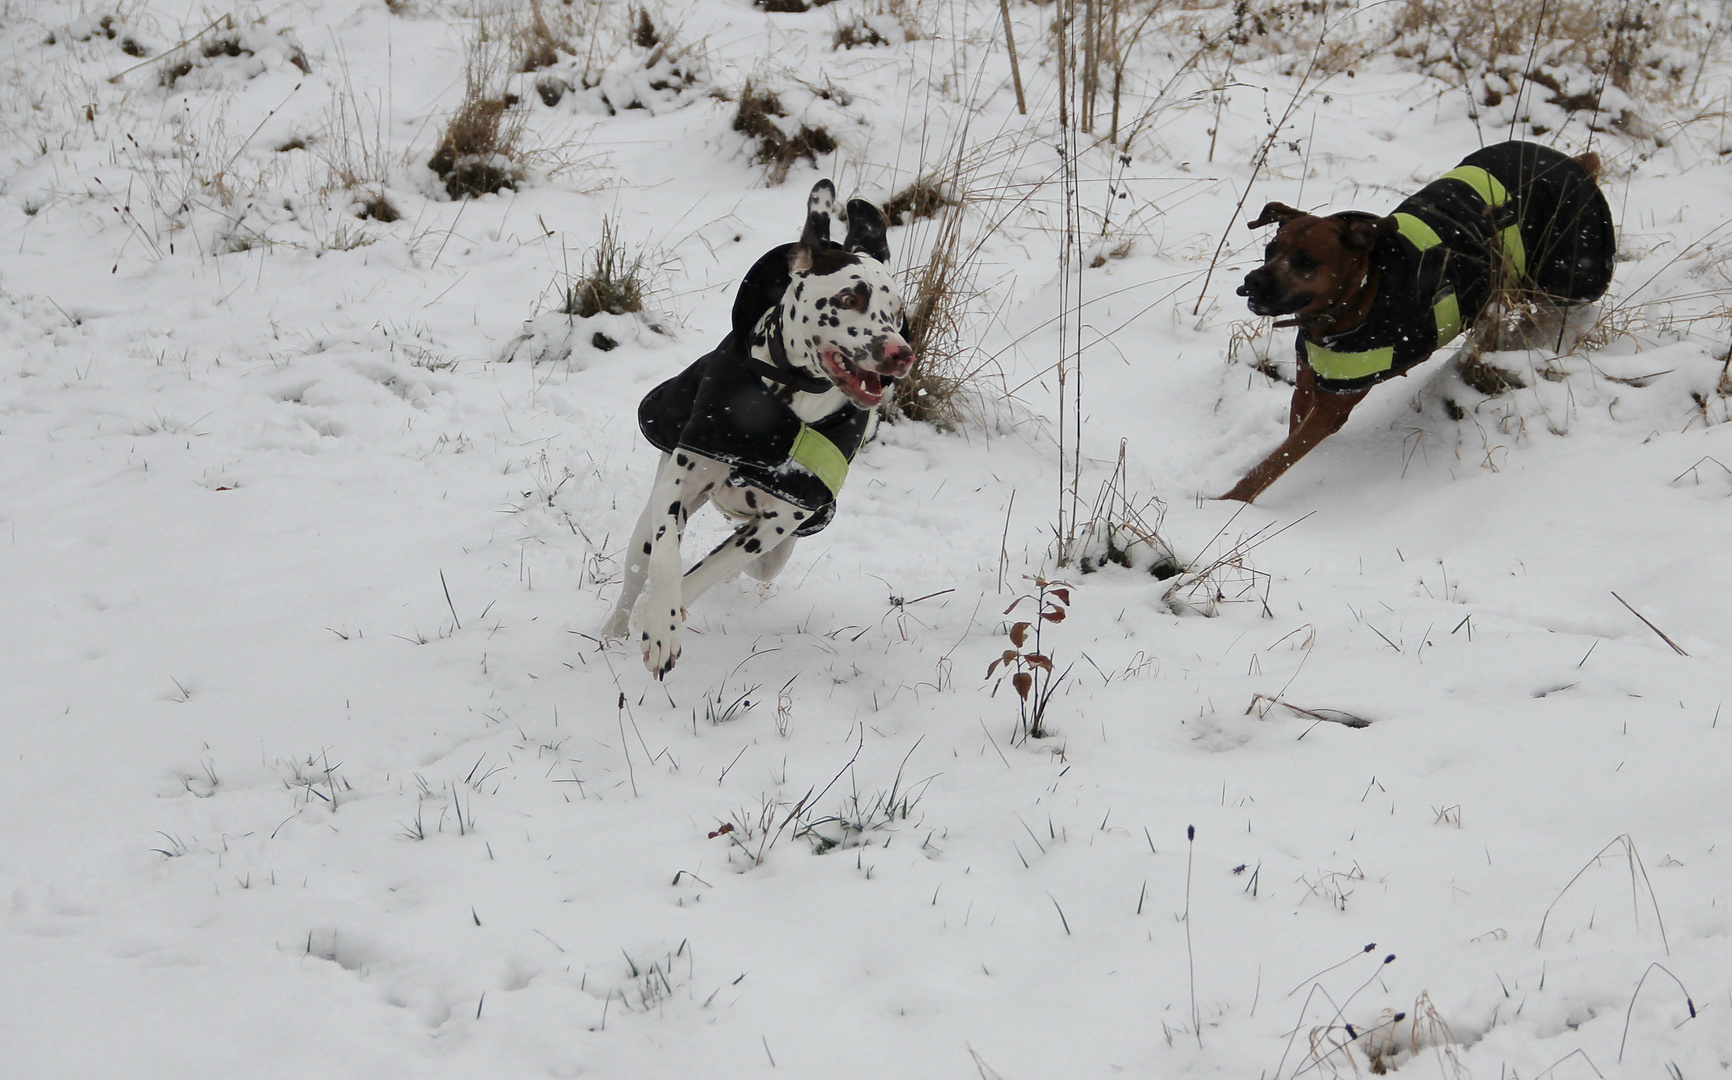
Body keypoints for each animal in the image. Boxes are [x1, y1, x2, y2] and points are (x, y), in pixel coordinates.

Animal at [602, 181, 914, 678]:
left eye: (898, 312)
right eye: (849, 299)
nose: (900, 353)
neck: (787, 400)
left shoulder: (782, 520)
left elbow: (706, 572)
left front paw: (666, 616)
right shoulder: (680, 483)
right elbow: (669, 563)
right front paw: (661, 626)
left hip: (777, 541)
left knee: (757, 563)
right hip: (645, 529)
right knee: (637, 571)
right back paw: (613, 632)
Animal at [1226, 138, 1614, 501]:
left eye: (1306, 261)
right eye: (1270, 251)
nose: (1252, 282)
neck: (1363, 295)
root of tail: (1579, 165)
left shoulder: (1331, 407)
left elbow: (1273, 464)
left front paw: (1230, 503)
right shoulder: (1308, 378)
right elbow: (1289, 438)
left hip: (1566, 276)